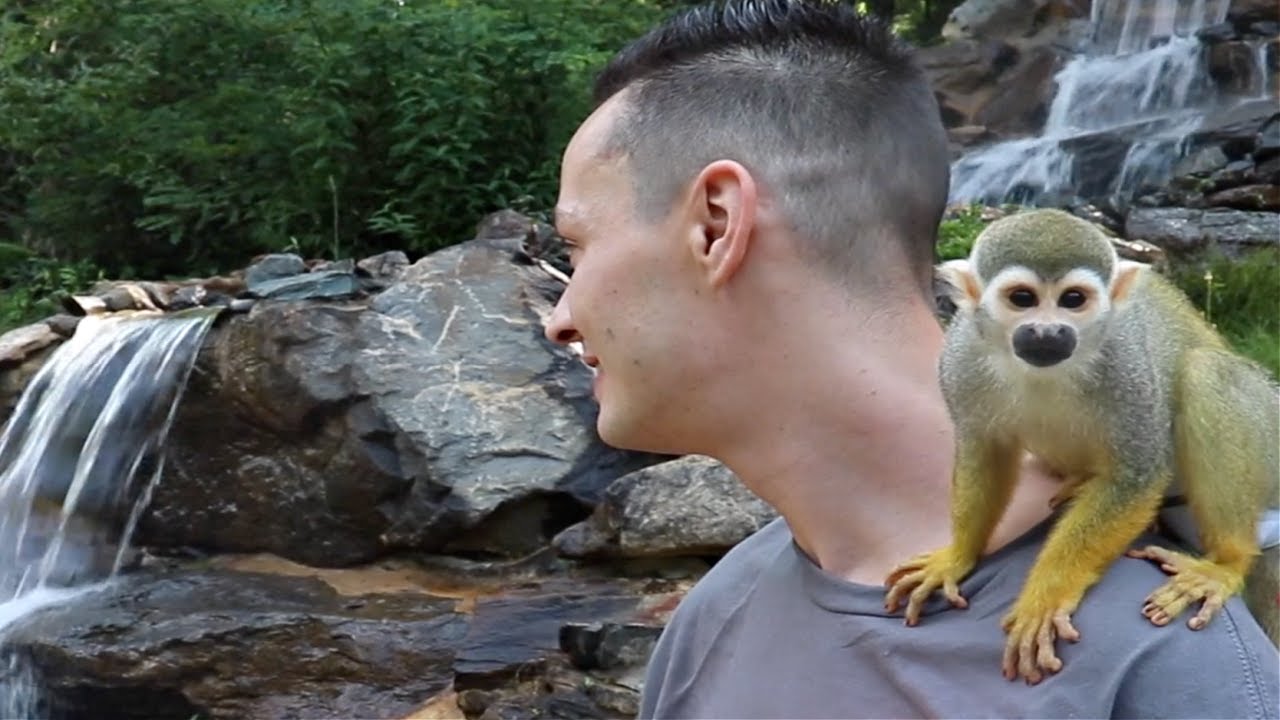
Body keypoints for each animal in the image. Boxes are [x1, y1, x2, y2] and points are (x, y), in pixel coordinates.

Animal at [882, 207, 1280, 685]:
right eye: (1022, 298)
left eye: (1073, 299)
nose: (1047, 332)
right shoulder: (960, 357)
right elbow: (985, 452)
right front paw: (957, 556)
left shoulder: (1126, 366)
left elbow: (1136, 475)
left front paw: (1044, 598)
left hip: (1269, 438)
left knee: (1206, 373)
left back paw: (1227, 563)